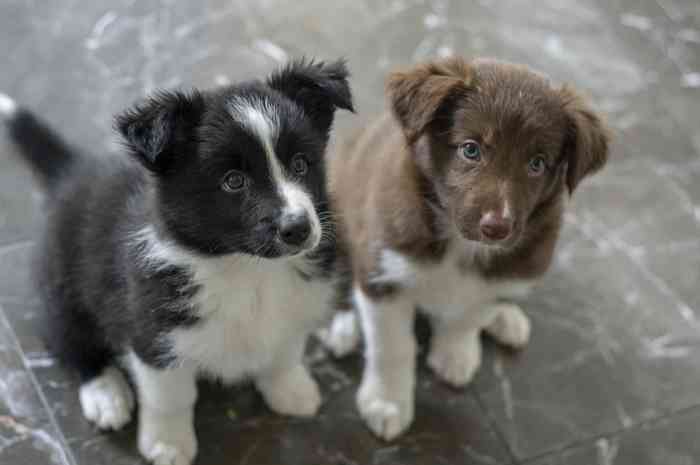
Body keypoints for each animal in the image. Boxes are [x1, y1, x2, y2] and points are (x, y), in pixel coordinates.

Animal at [0, 59, 350, 464]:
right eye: (233, 181)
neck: (247, 268)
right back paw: (106, 395)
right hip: (63, 286)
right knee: (69, 340)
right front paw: (167, 445)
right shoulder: (151, 331)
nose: (299, 228)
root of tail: (75, 172)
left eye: (300, 164)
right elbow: (171, 397)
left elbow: (284, 352)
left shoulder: (296, 306)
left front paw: (292, 391)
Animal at [320, 57, 608, 438]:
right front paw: (387, 402)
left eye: (537, 163)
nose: (496, 227)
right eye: (471, 149)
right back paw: (342, 326)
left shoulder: (507, 270)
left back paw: (506, 318)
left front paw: (455, 353)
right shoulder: (383, 271)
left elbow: (470, 313)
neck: (460, 244)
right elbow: (391, 346)